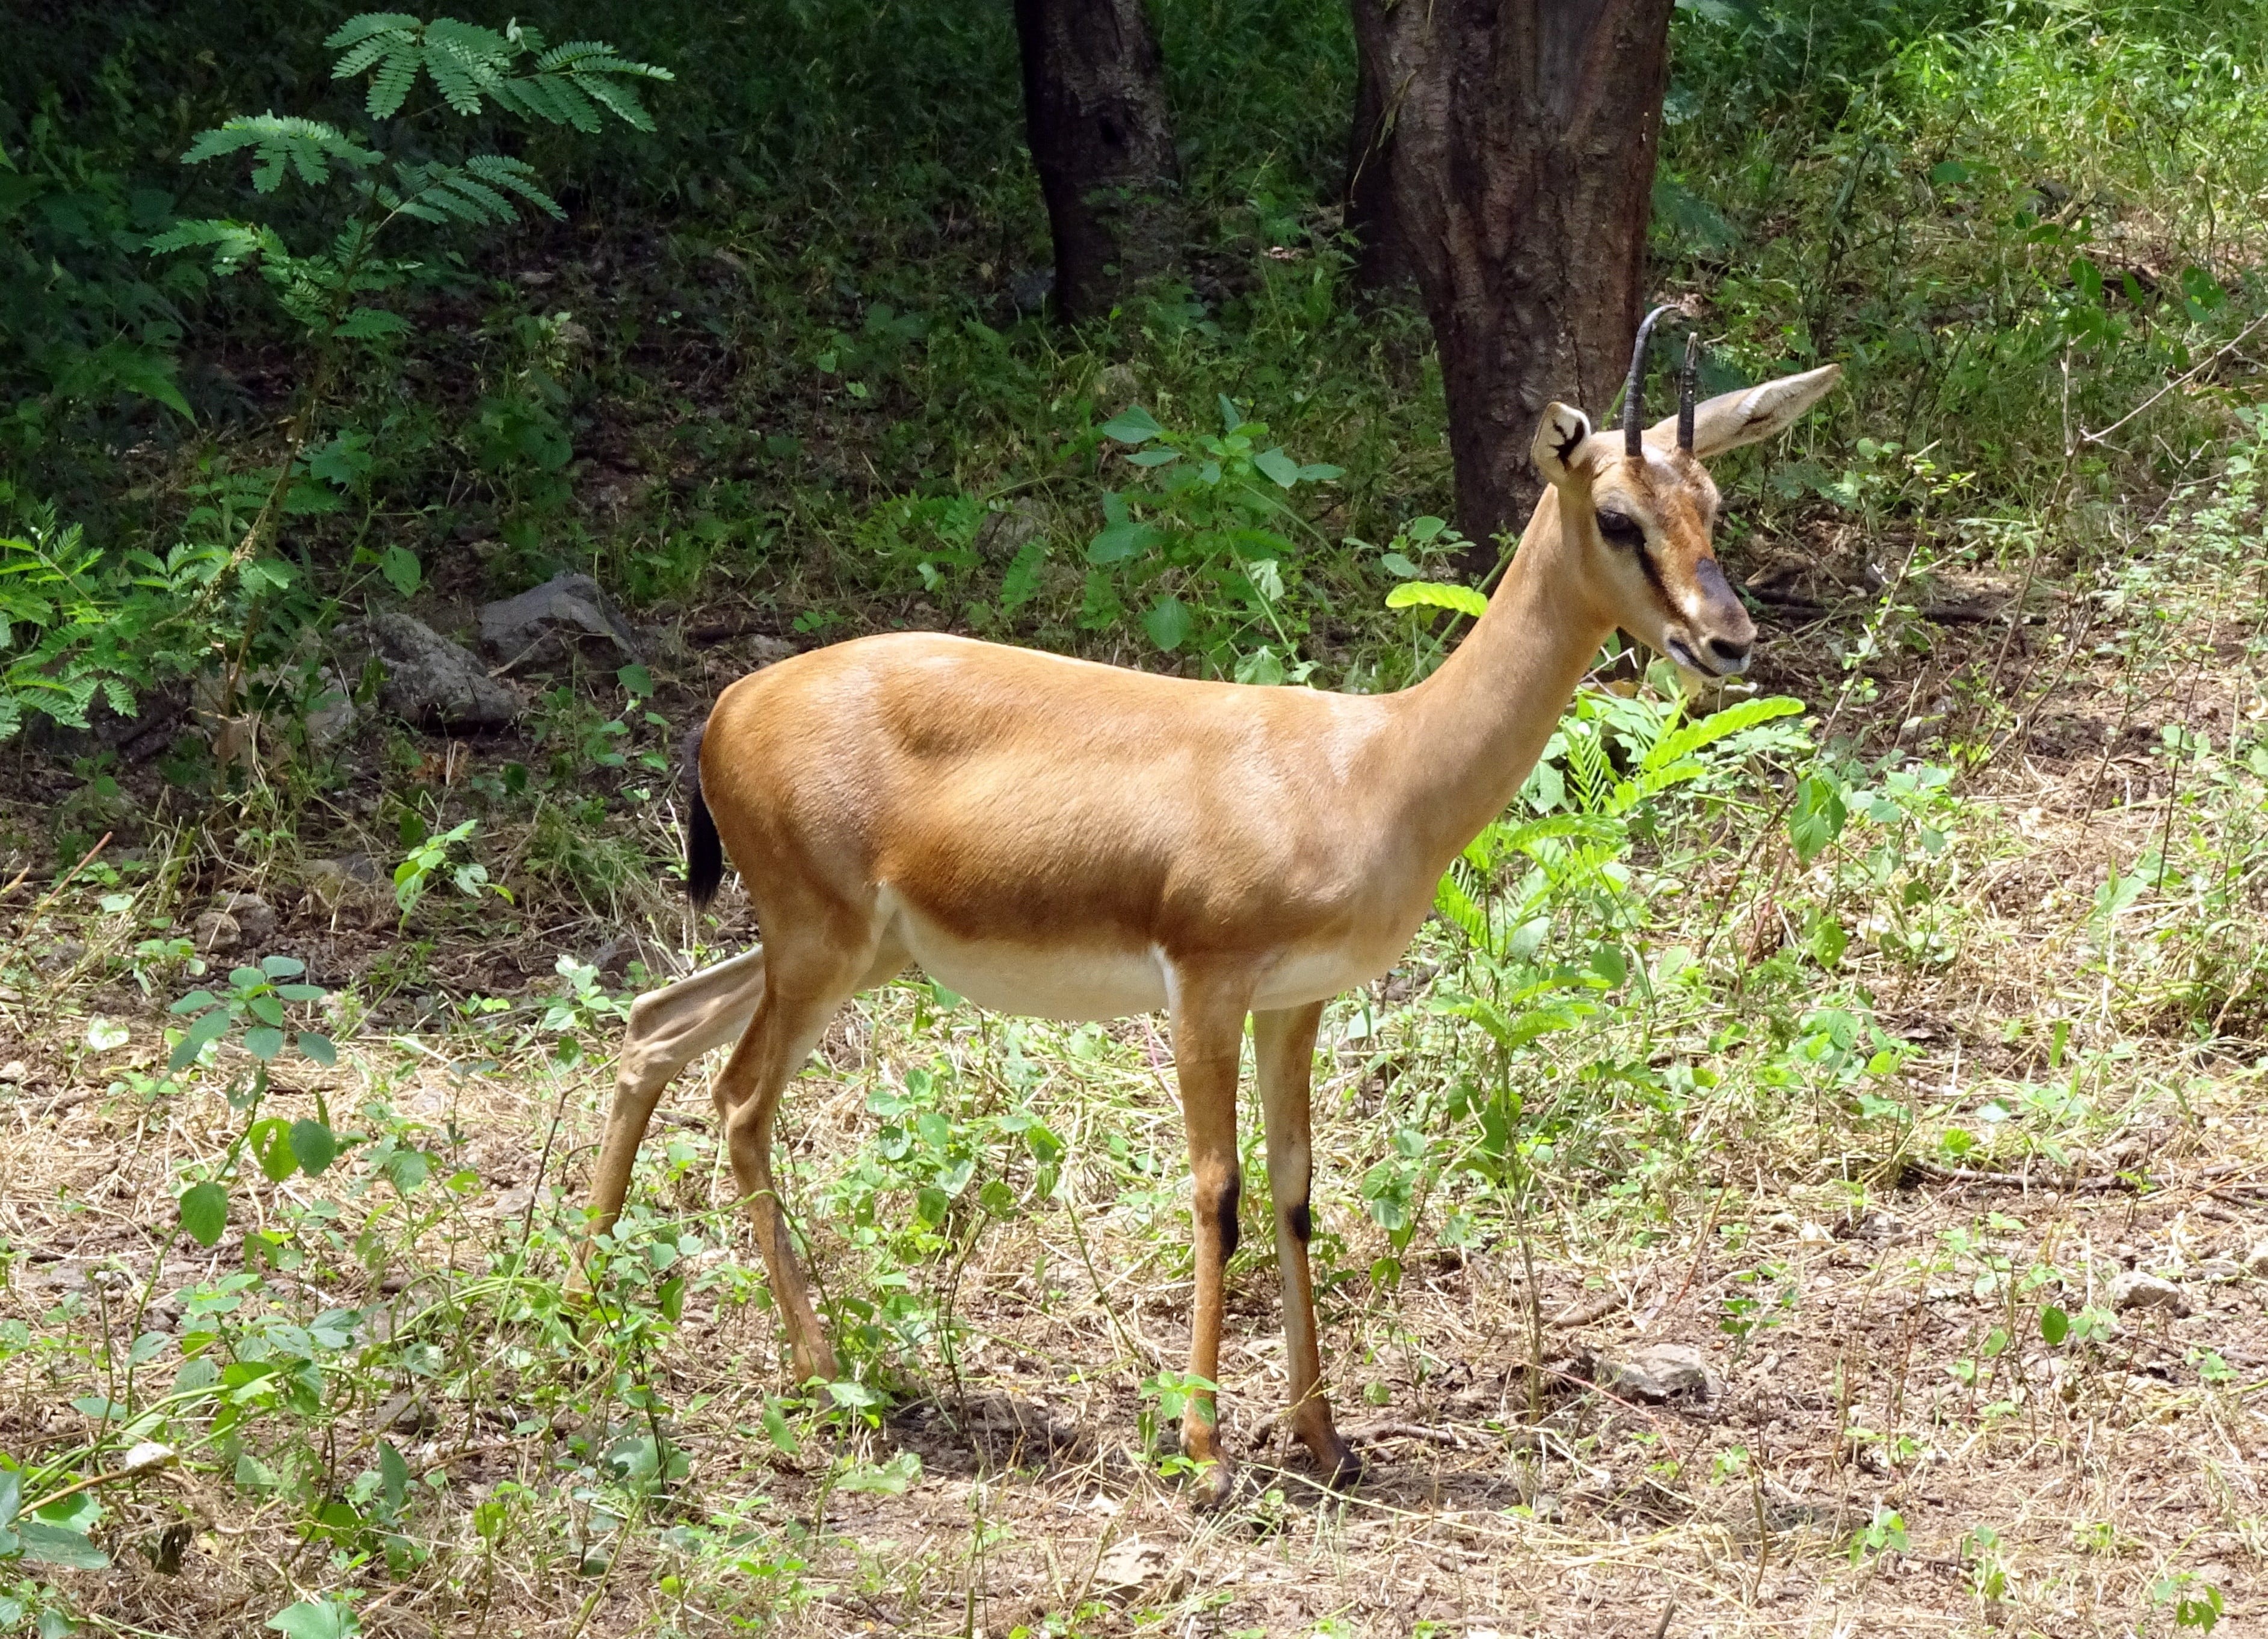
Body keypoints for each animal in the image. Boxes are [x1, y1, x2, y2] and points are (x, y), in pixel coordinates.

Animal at [579, 310, 1838, 1504]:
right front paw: (1203, 1453)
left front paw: (1325, 1441)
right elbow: (1217, 1193)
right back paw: (820, 1369)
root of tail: (730, 704)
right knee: (738, 1099)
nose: (1727, 641)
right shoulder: (1205, 985)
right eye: (1619, 517)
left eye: (1713, 502)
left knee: (651, 1024)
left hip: (850, 952)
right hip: (823, 949)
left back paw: (594, 1294)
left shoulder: (1296, 1003)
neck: (1371, 767)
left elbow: (1296, 1194)